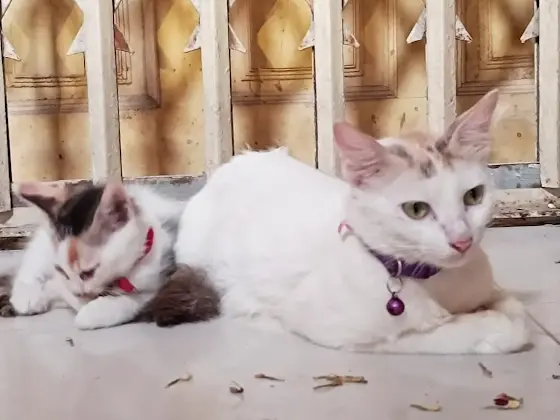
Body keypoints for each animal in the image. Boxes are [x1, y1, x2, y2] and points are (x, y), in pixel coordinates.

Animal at [1, 181, 219, 329]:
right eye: (62, 271)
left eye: (90, 272)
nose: (79, 293)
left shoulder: (164, 275)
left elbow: (135, 300)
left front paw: (91, 312)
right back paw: (26, 296)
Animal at [174, 89, 531, 354]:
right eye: (416, 209)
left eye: (474, 196)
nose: (462, 241)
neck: (439, 280)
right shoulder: (342, 332)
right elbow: (437, 331)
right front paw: (492, 326)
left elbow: (513, 306)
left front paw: (508, 311)